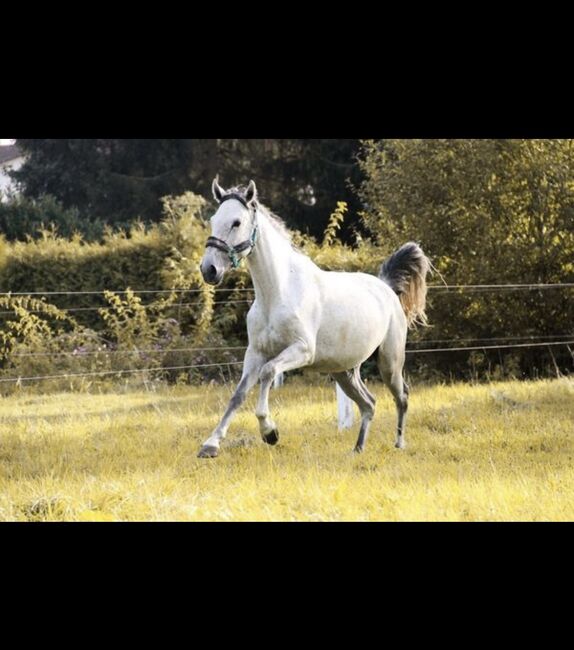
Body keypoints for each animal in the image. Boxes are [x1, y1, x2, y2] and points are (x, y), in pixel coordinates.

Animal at [200, 180, 430, 458]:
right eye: (213, 220)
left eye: (236, 222)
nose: (209, 270)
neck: (278, 293)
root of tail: (385, 287)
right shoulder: (255, 353)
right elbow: (238, 394)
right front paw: (210, 445)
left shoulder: (302, 350)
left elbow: (268, 373)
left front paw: (270, 432)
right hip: (344, 371)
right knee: (369, 403)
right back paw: (357, 448)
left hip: (390, 362)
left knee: (402, 396)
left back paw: (399, 444)